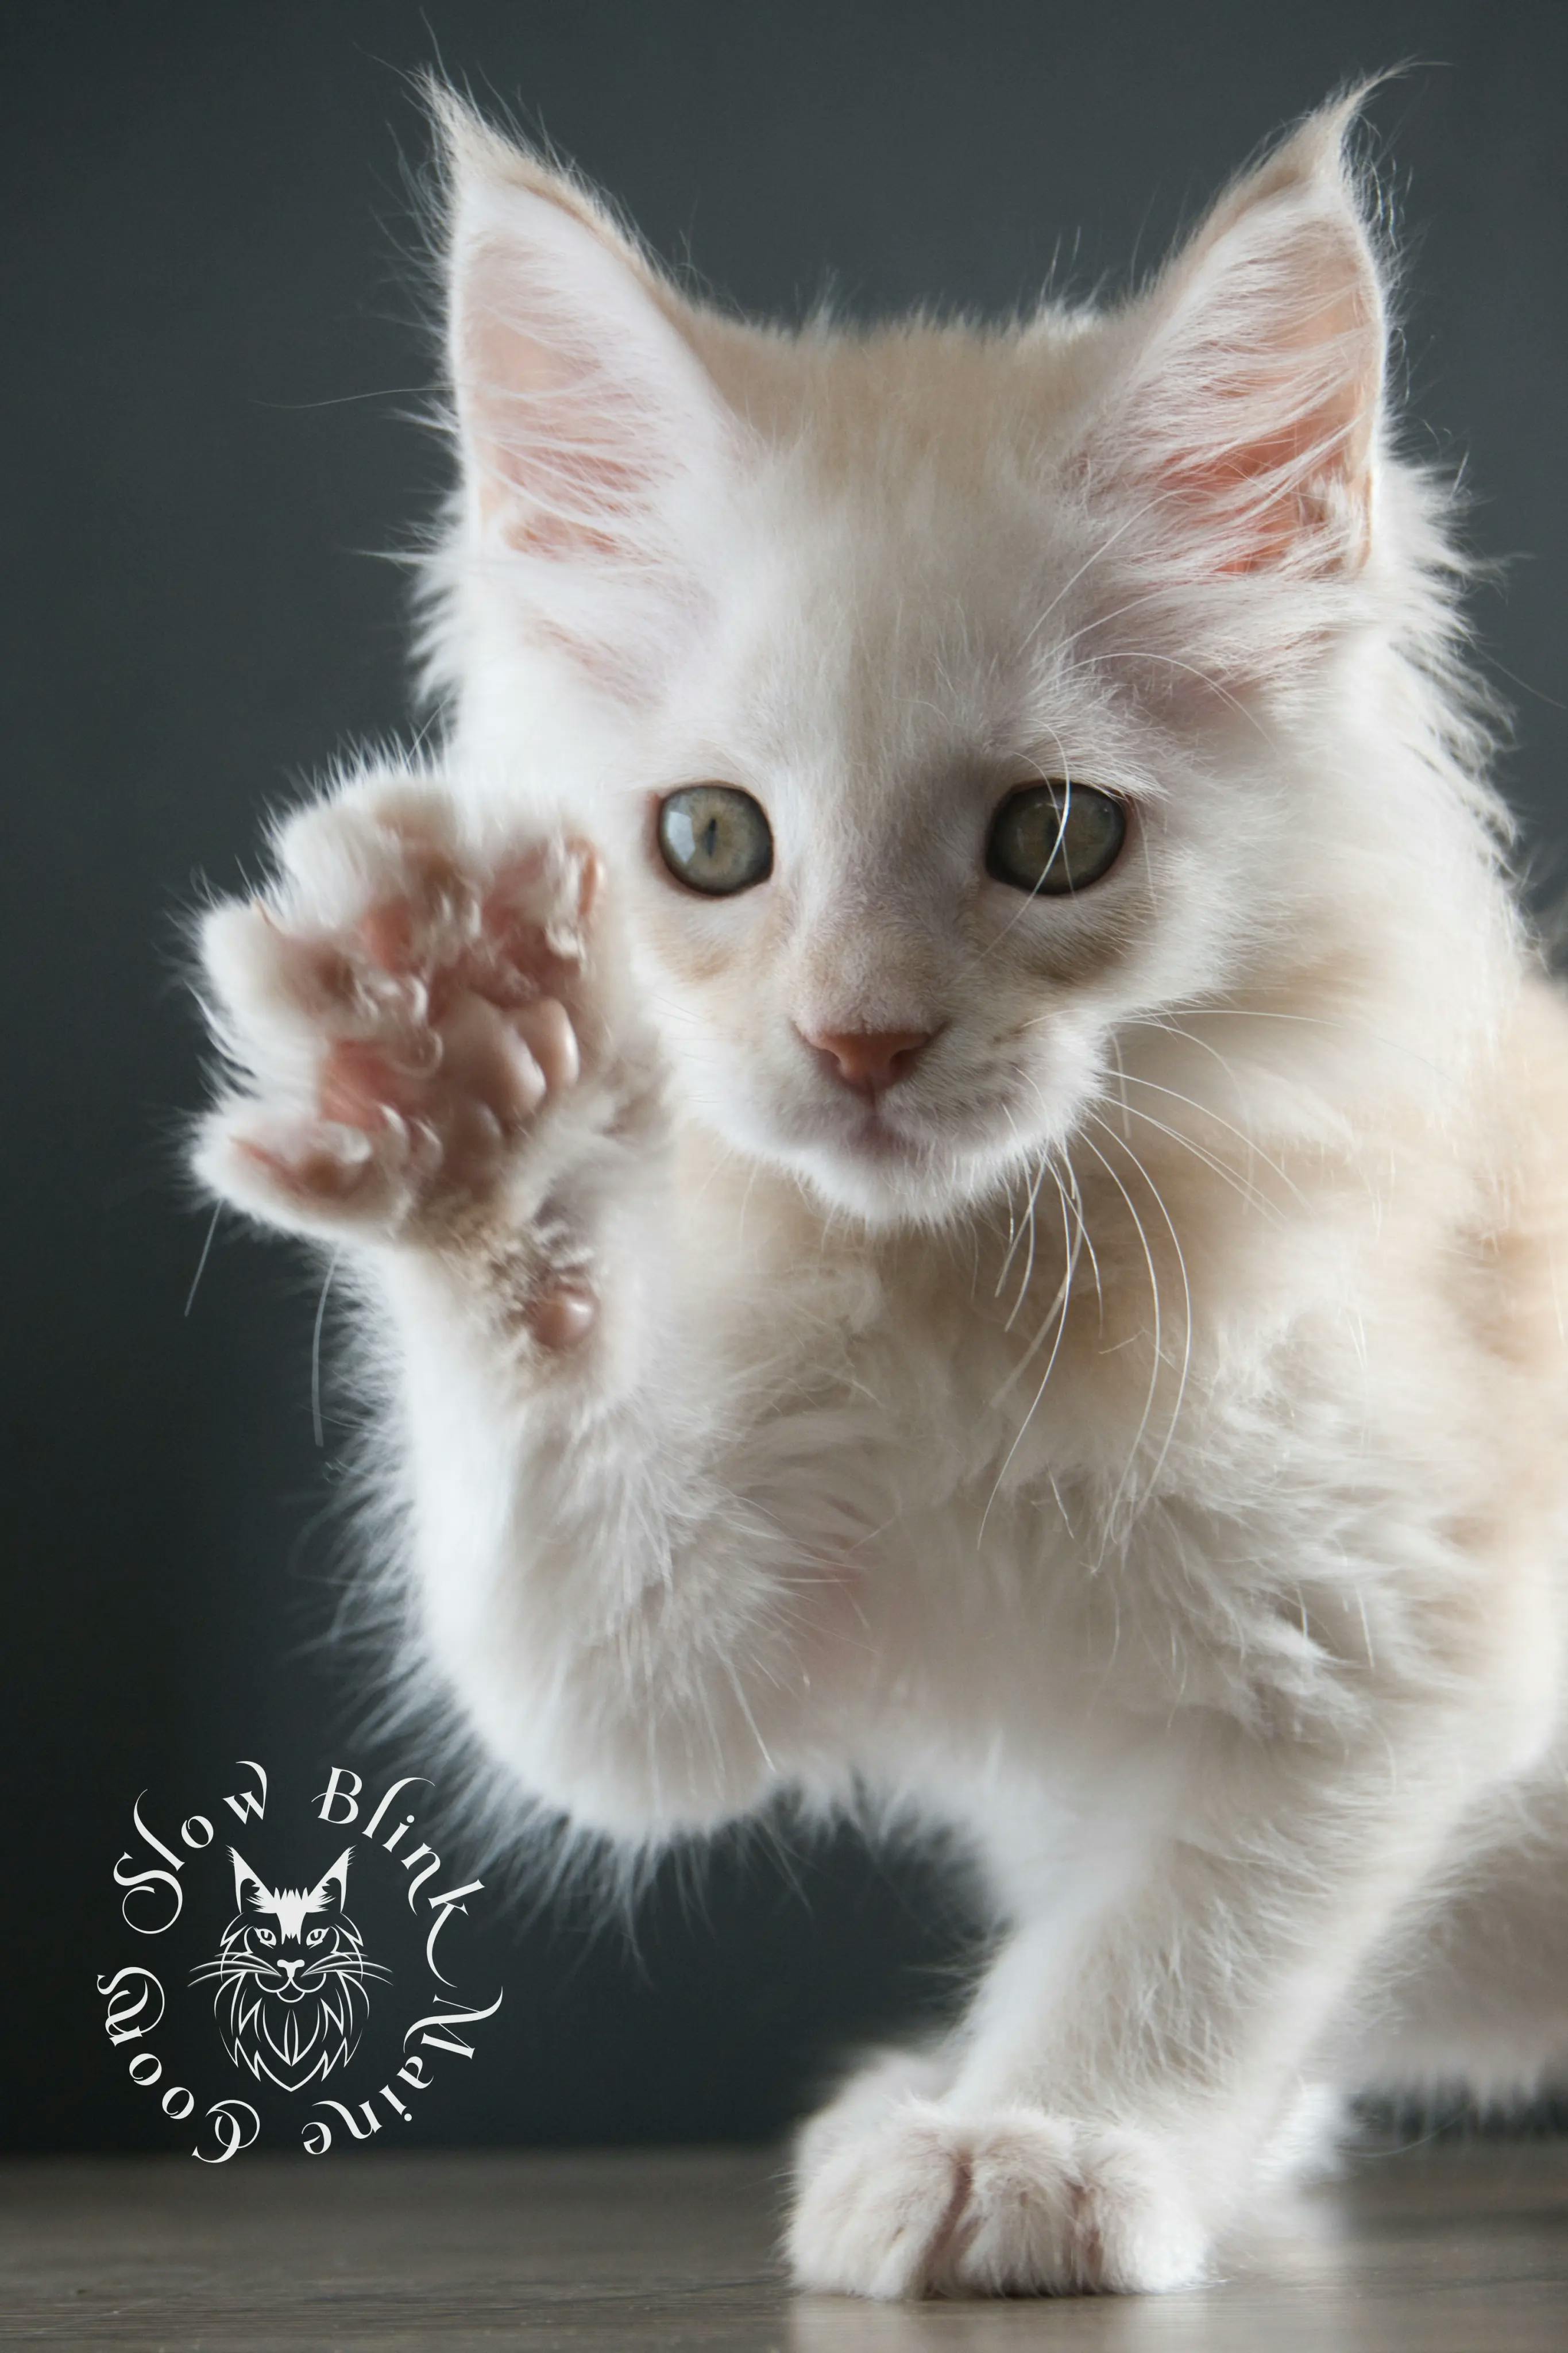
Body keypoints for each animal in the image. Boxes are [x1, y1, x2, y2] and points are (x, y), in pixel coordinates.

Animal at [190, 91, 1568, 2296]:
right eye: (708, 842)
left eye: (1054, 838)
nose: (858, 1043)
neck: (982, 1303)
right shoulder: (677, 1650)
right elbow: (568, 1610)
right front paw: (461, 1098)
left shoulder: (1414, 1636)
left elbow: (1202, 1926)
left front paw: (1044, 2134)